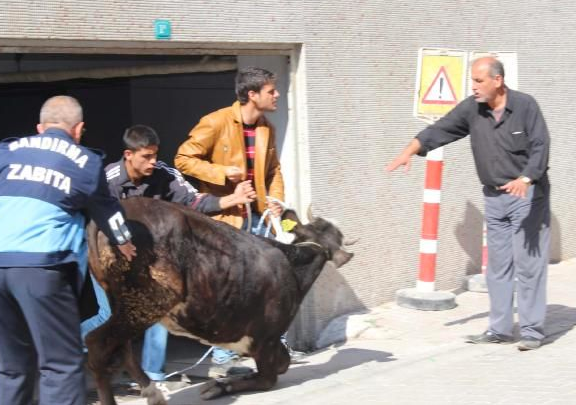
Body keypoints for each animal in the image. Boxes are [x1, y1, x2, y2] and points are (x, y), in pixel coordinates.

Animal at [85, 195, 356, 400]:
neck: (292, 265)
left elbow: (281, 364)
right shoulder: (267, 338)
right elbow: (271, 375)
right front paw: (219, 385)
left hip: (123, 302)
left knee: (122, 348)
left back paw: (152, 392)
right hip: (151, 300)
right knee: (98, 344)